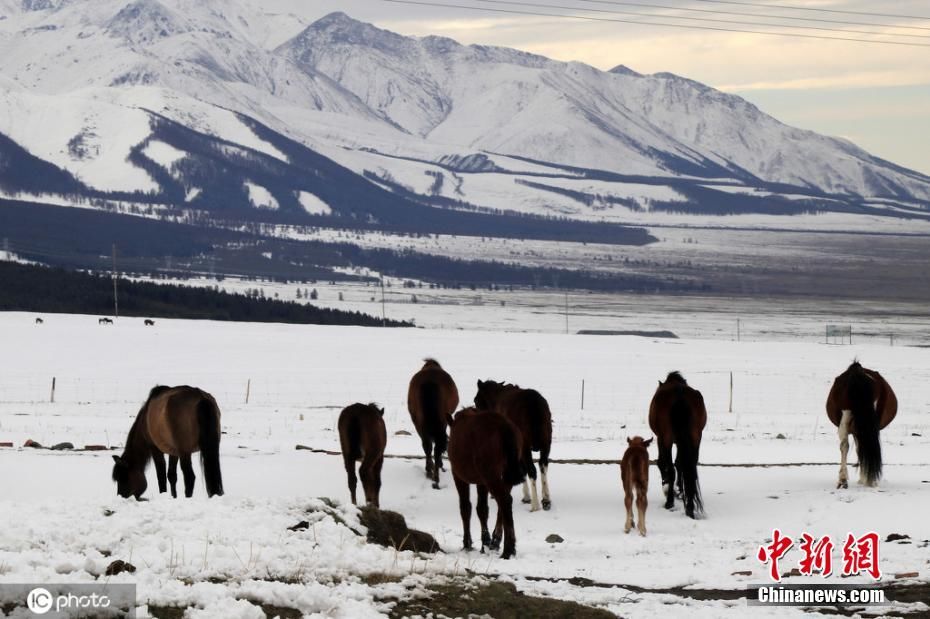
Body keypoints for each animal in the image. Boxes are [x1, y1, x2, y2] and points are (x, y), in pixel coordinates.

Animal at [446, 410, 524, 560]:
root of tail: (503, 425)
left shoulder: (458, 477)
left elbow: (465, 508)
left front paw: (467, 543)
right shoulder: (481, 482)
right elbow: (482, 509)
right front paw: (486, 542)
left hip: (490, 476)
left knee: (504, 500)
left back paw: (508, 549)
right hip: (503, 477)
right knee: (504, 503)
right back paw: (499, 542)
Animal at [472, 380, 552, 512]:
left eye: (476, 400)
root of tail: (534, 404)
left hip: (526, 446)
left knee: (532, 470)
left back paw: (535, 505)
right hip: (546, 443)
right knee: (543, 466)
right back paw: (546, 500)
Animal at [648, 372, 708, 520]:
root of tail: (679, 393)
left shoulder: (661, 439)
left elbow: (662, 463)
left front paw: (667, 486)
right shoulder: (682, 442)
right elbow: (680, 463)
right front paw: (681, 491)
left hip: (667, 439)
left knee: (670, 468)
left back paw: (669, 502)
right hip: (695, 438)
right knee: (690, 467)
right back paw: (690, 506)